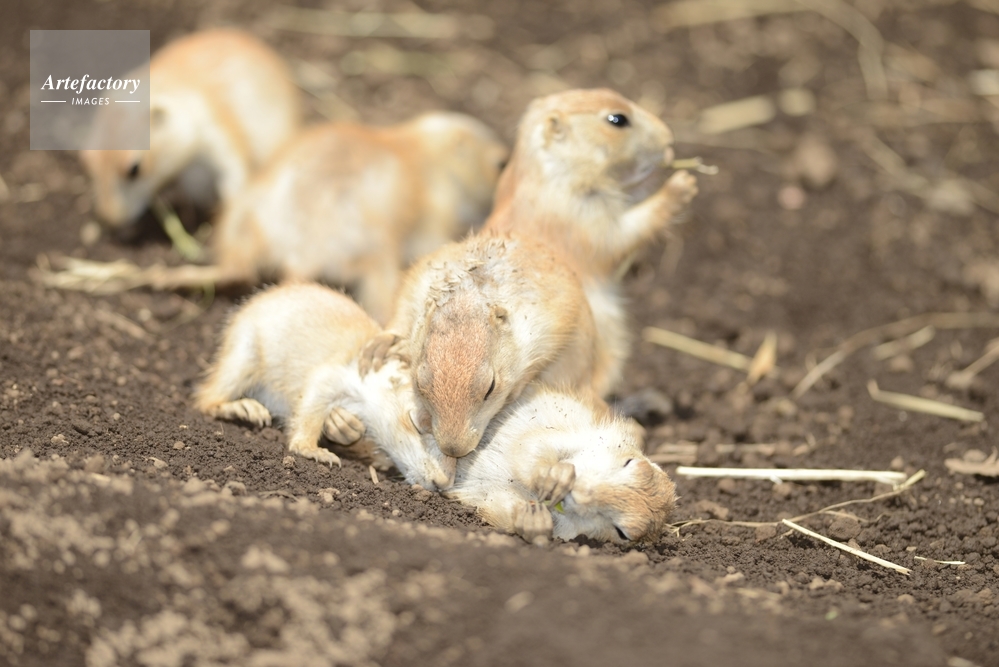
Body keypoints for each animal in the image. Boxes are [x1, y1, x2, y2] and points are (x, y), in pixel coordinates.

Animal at [193, 283, 455, 490]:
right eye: (416, 423)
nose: (443, 484)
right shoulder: (338, 375)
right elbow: (313, 399)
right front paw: (314, 450)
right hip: (243, 355)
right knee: (205, 398)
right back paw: (243, 408)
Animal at [357, 233, 608, 459]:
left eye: (490, 387)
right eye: (419, 384)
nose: (454, 450)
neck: (469, 295)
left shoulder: (548, 325)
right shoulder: (419, 282)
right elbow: (401, 312)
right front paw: (379, 348)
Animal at [447, 385, 677, 543]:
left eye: (622, 534)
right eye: (629, 462)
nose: (580, 493)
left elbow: (500, 506)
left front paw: (535, 521)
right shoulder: (577, 435)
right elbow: (533, 445)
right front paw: (554, 477)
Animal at [482, 88, 699, 391]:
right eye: (617, 120)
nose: (670, 139)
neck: (548, 171)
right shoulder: (577, 217)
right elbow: (617, 238)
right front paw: (682, 184)